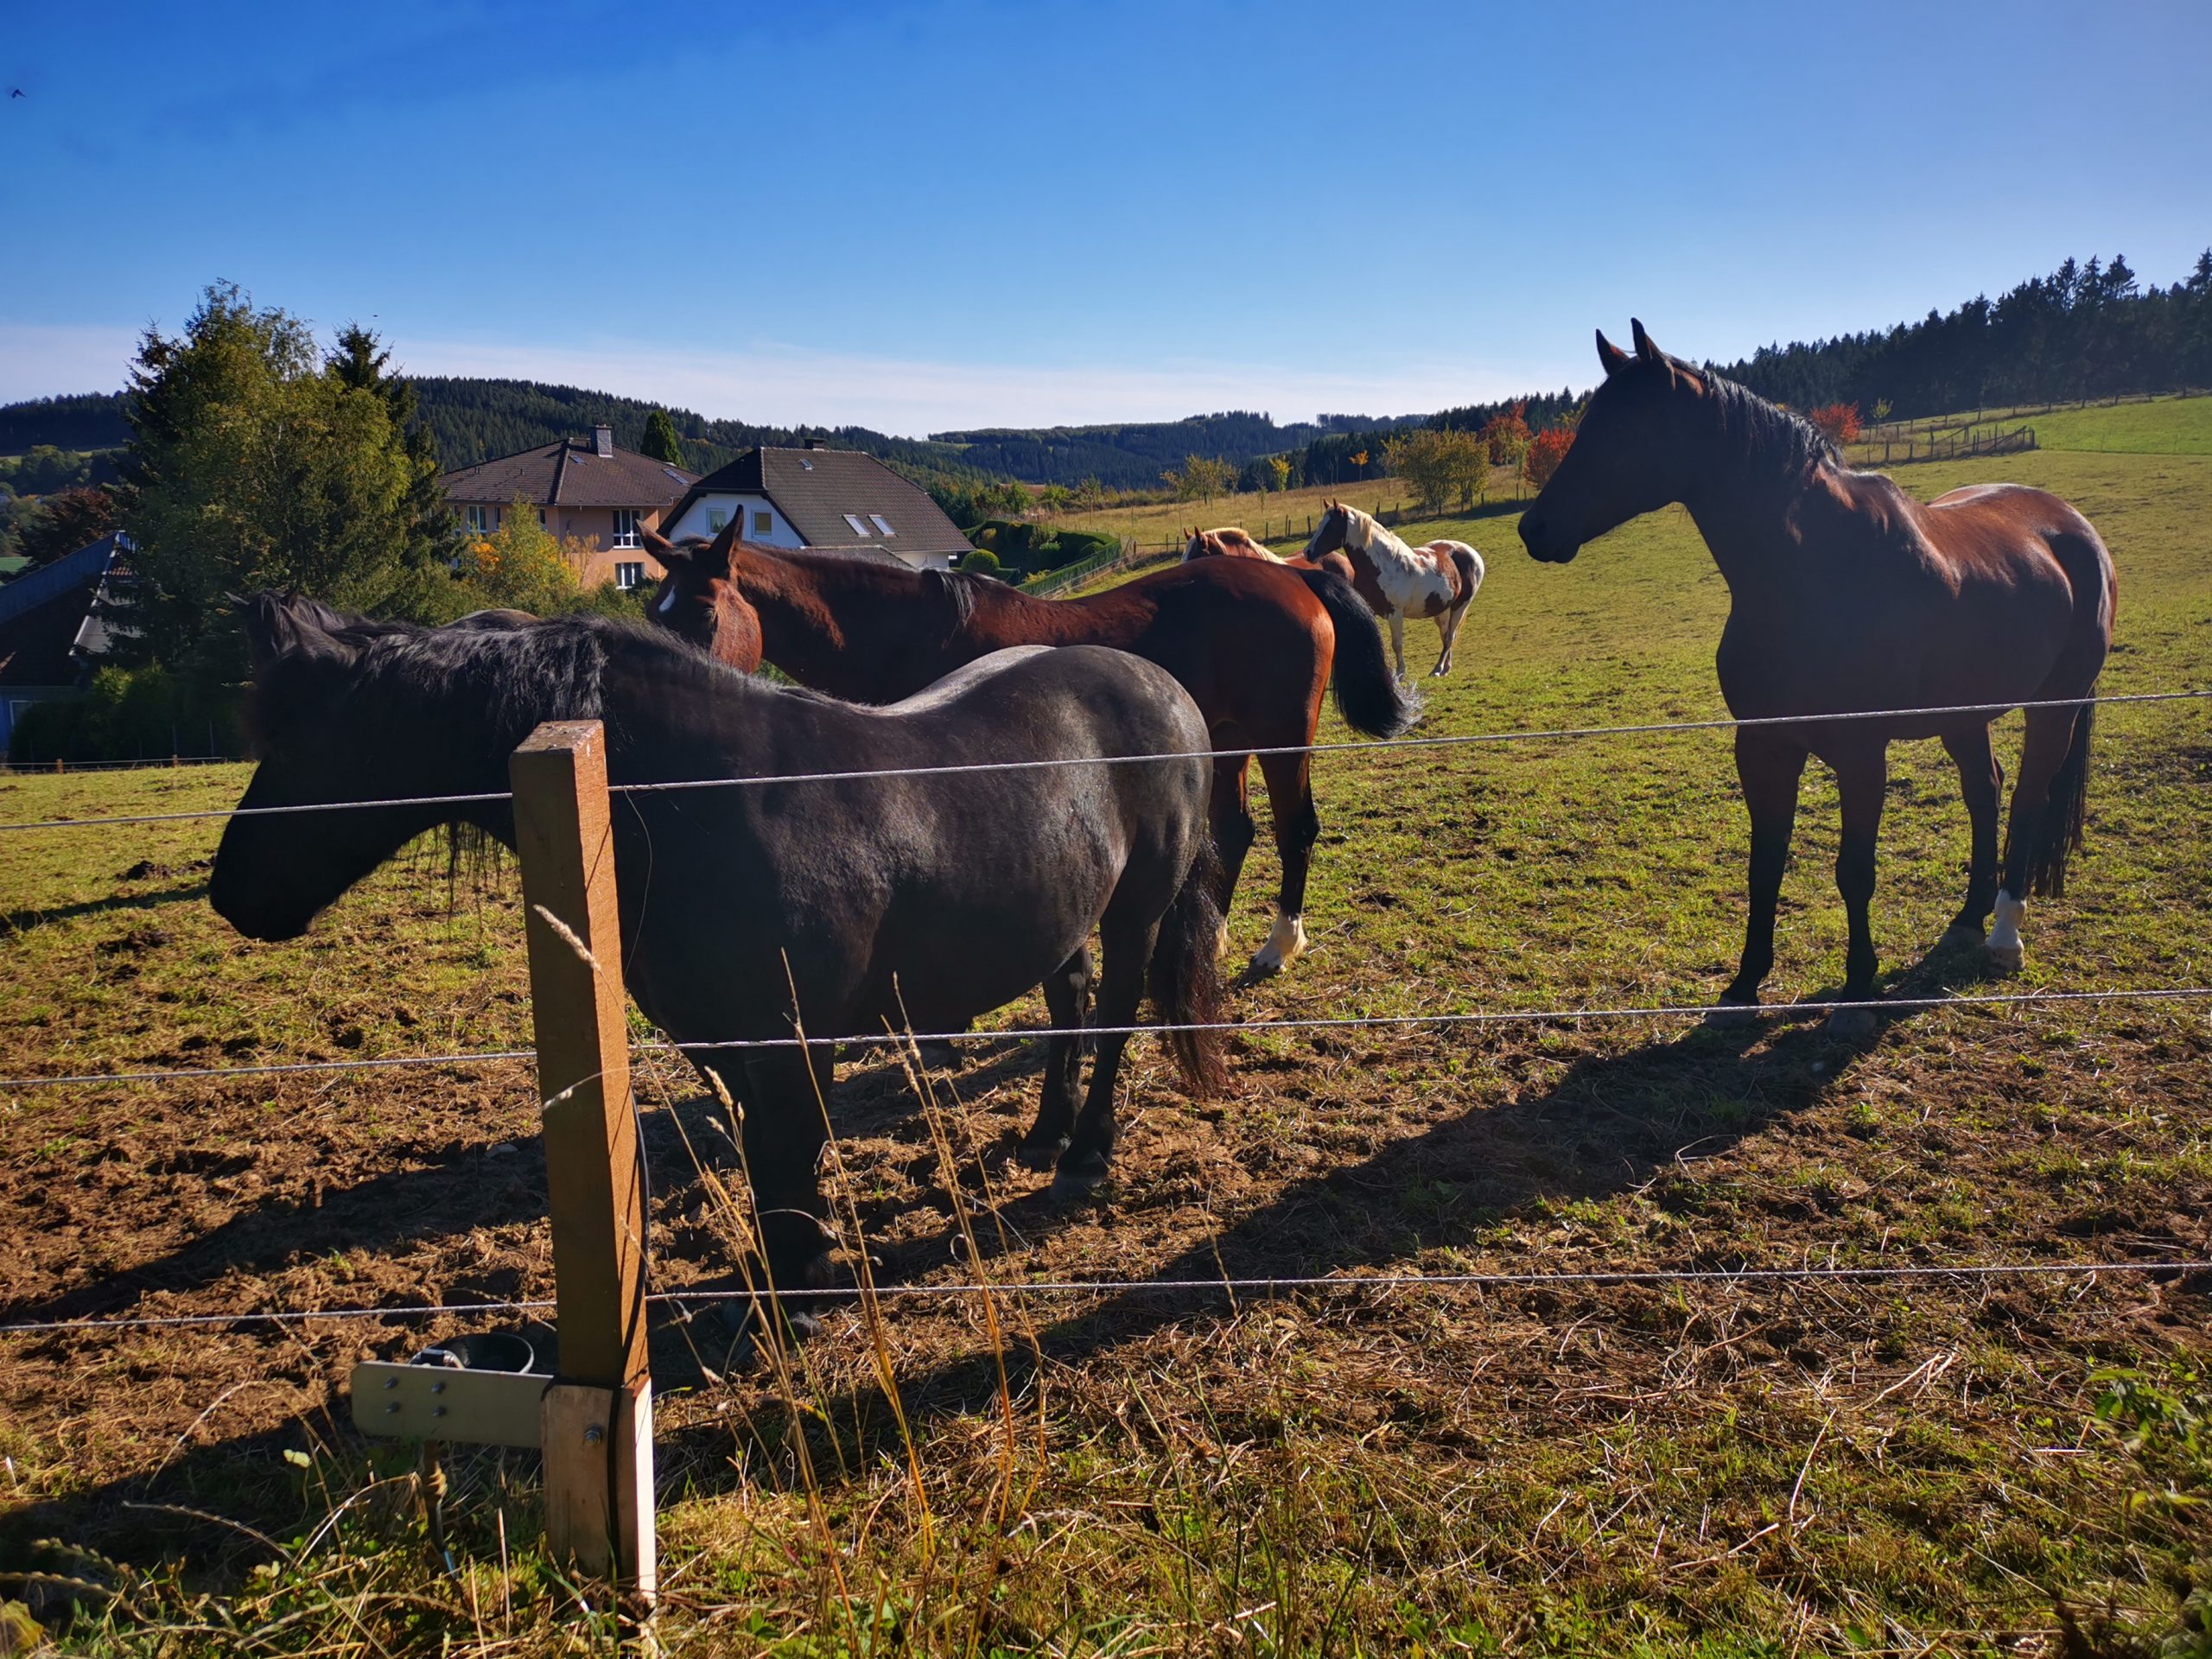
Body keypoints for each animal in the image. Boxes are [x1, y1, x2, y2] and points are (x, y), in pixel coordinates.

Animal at [208, 593, 1230, 1313]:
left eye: (299, 744)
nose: (229, 893)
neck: (714, 801)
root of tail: (1168, 687)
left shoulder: (793, 1037)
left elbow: (794, 1150)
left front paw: (810, 1283)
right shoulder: (724, 1045)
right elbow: (766, 1159)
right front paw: (785, 1273)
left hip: (1137, 911)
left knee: (1116, 1016)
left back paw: (1086, 1151)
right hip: (1059, 912)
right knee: (1070, 1004)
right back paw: (1046, 1132)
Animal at [642, 522, 1421, 978]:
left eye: (704, 611)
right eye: (656, 610)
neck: (910, 636)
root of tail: (1294, 576)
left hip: (1281, 736)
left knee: (1296, 831)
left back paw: (1277, 946)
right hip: (1228, 740)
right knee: (1236, 832)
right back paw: (1214, 937)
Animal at [1301, 502, 1486, 679]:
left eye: (1331, 526)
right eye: (1320, 524)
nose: (1307, 552)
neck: (1383, 565)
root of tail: (1470, 552)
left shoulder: (1395, 613)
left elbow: (1397, 644)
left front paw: (1399, 673)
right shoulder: (1370, 610)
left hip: (1460, 606)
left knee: (1449, 637)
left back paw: (1437, 669)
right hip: (1442, 610)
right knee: (1446, 634)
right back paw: (1446, 668)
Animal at [1518, 321, 2117, 1029]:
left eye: (1628, 429)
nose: (1534, 528)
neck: (1813, 572)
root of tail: (2074, 528)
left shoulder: (1861, 752)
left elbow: (1854, 870)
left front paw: (1858, 987)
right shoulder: (1763, 744)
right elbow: (1765, 864)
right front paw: (1744, 985)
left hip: (2054, 706)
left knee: (2026, 800)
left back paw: (2003, 937)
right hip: (1962, 715)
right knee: (1986, 791)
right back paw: (1969, 918)